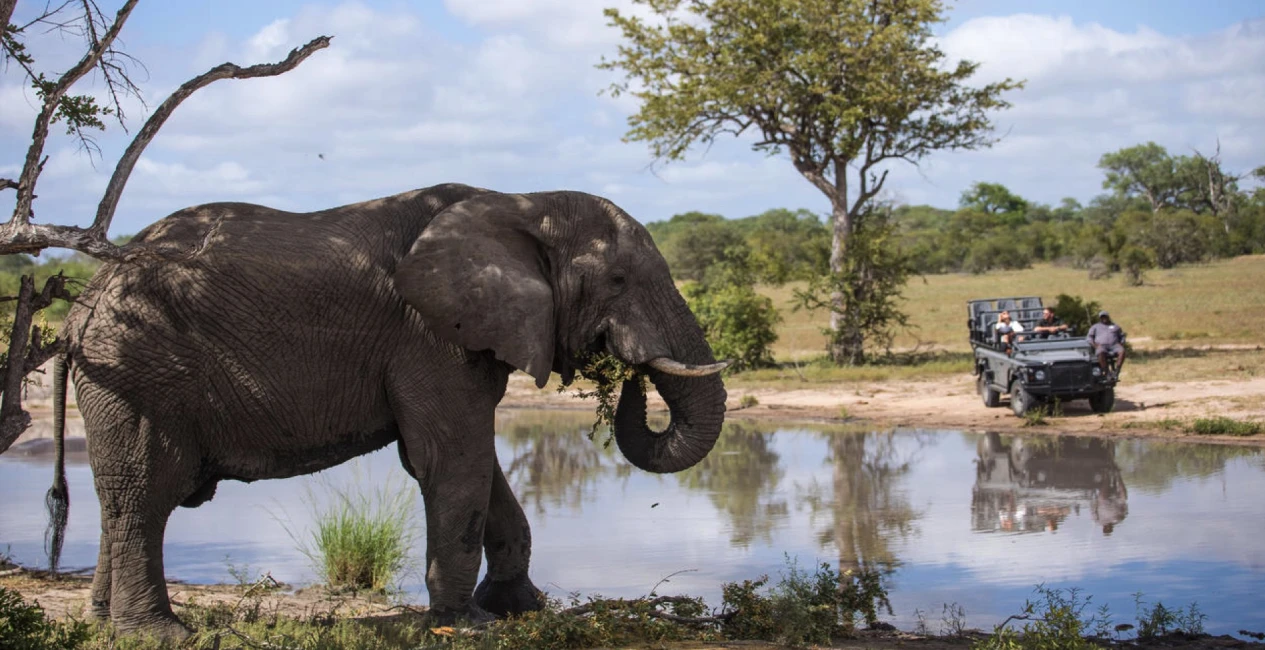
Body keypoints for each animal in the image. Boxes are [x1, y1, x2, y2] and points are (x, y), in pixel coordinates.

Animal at [54, 183, 728, 639]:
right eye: (617, 281)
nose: (630, 373)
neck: (521, 201)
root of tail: (81, 306)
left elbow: (478, 467)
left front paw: (521, 607)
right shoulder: (428, 334)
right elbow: (450, 459)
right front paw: (466, 625)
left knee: (122, 498)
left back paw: (103, 623)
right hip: (136, 371)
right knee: (146, 492)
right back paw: (159, 634)